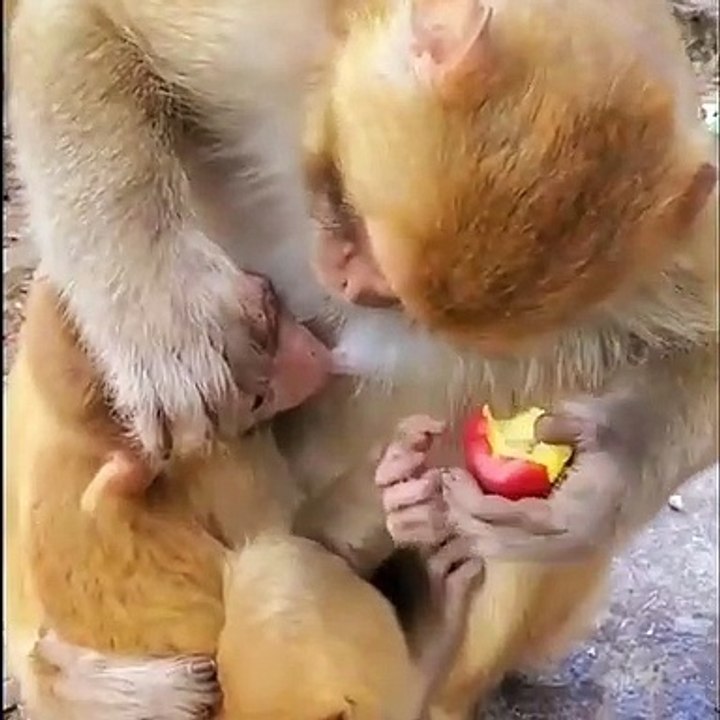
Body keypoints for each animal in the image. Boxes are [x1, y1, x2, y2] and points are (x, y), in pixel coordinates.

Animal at [8, 0, 718, 719]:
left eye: (394, 291)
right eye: (344, 208)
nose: (349, 286)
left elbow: (702, 344)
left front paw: (599, 488)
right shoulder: (259, 31)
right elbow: (77, 23)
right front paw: (167, 321)